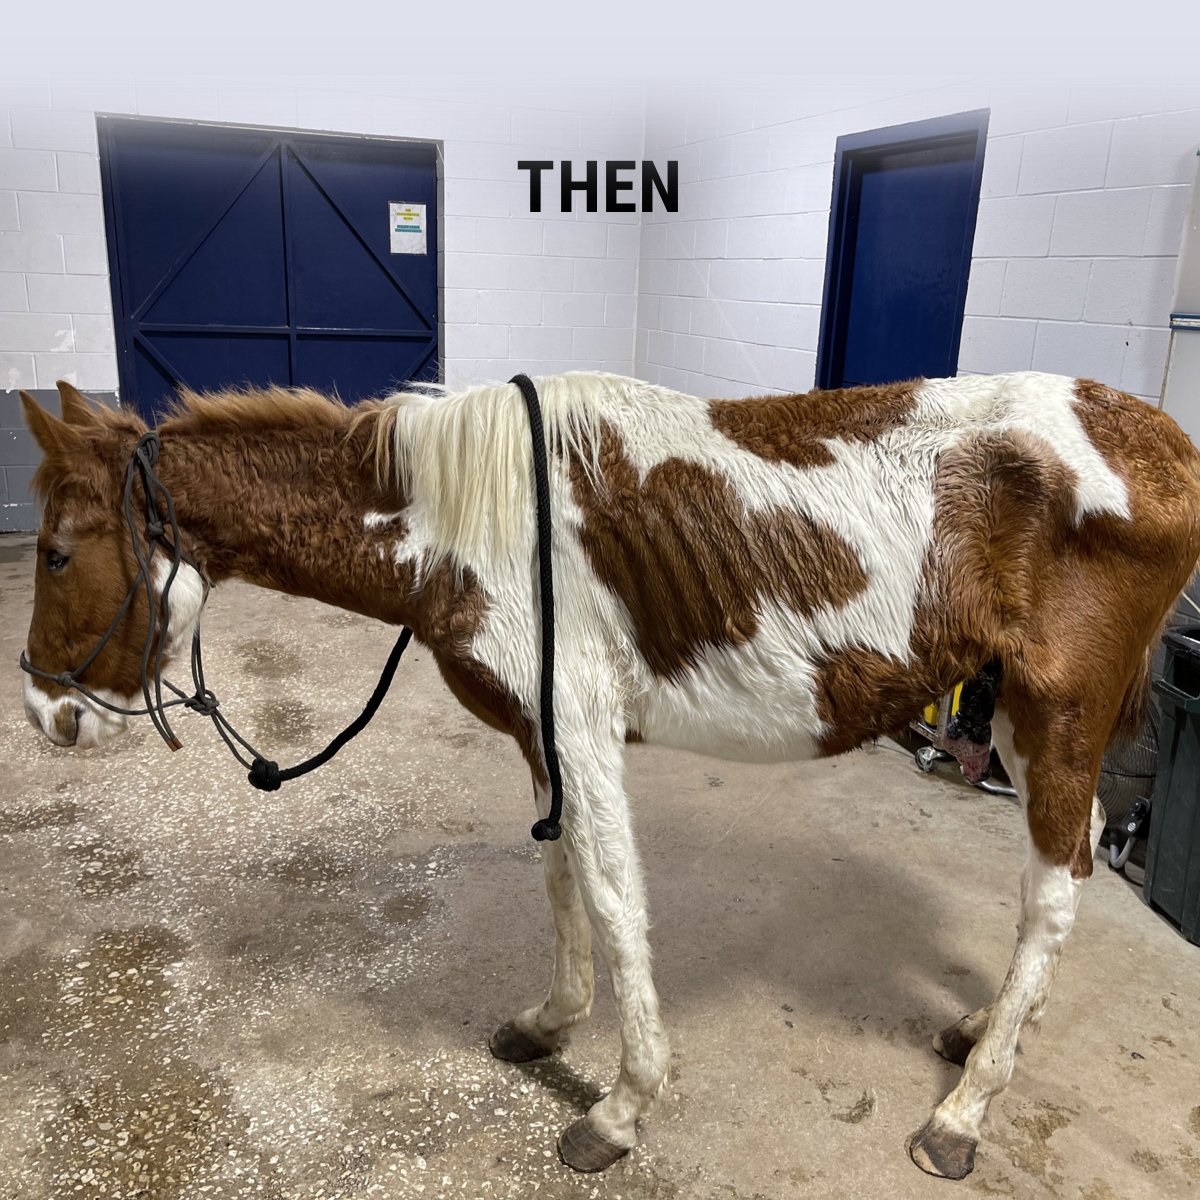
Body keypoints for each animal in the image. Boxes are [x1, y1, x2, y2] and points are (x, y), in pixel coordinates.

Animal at [17, 370, 1200, 1179]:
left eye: (58, 553)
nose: (43, 714)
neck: (461, 523)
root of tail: (1161, 438)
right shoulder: (541, 737)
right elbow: (562, 881)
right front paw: (552, 1022)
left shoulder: (580, 733)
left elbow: (618, 900)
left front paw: (623, 1108)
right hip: (1025, 722)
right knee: (1067, 871)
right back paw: (985, 1034)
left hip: (1058, 714)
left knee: (1053, 895)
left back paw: (965, 1112)